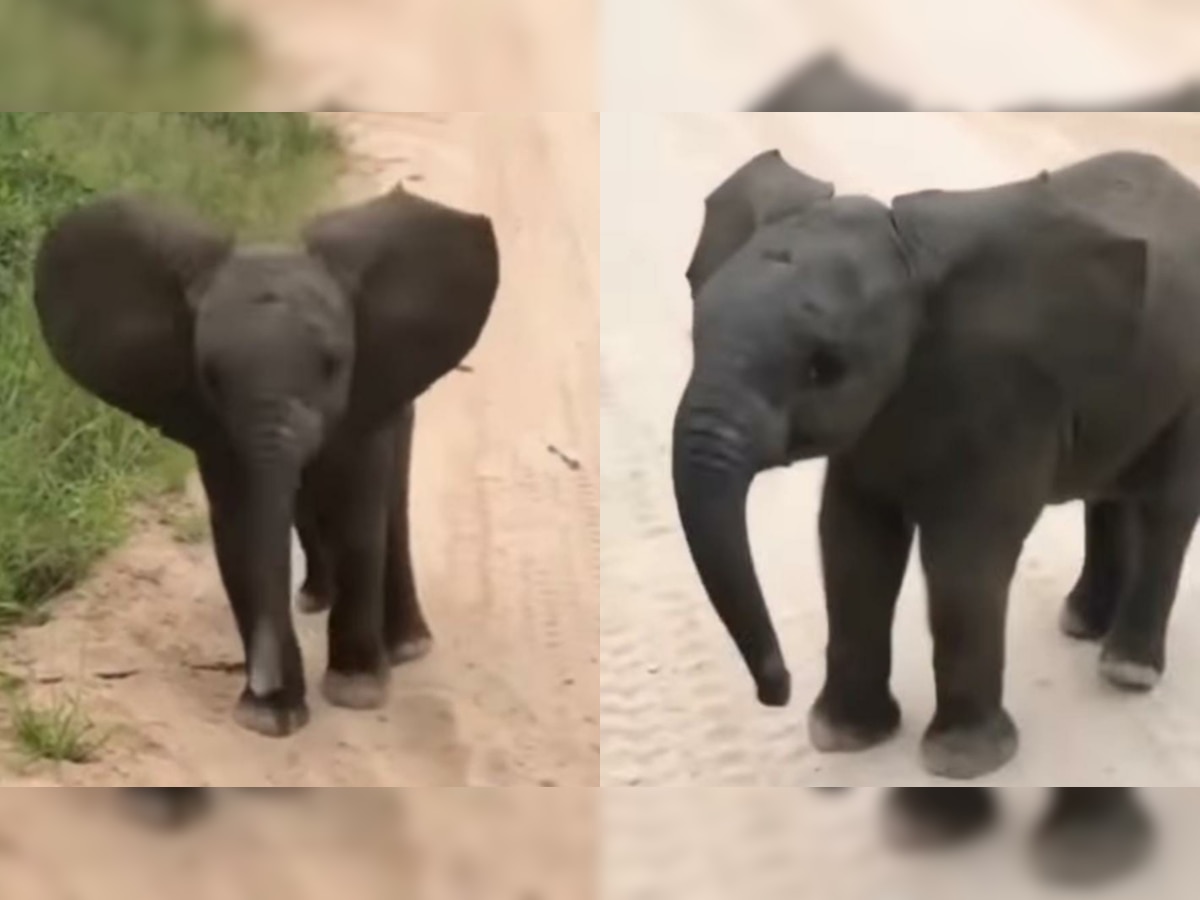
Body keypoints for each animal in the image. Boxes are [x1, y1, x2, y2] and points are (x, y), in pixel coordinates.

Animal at [35, 184, 499, 739]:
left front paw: (357, 691)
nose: (260, 679)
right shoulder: (214, 424)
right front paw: (270, 715)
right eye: (210, 375)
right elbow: (240, 526)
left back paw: (407, 647)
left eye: (333, 365)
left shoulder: (365, 393)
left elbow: (356, 516)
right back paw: (314, 599)